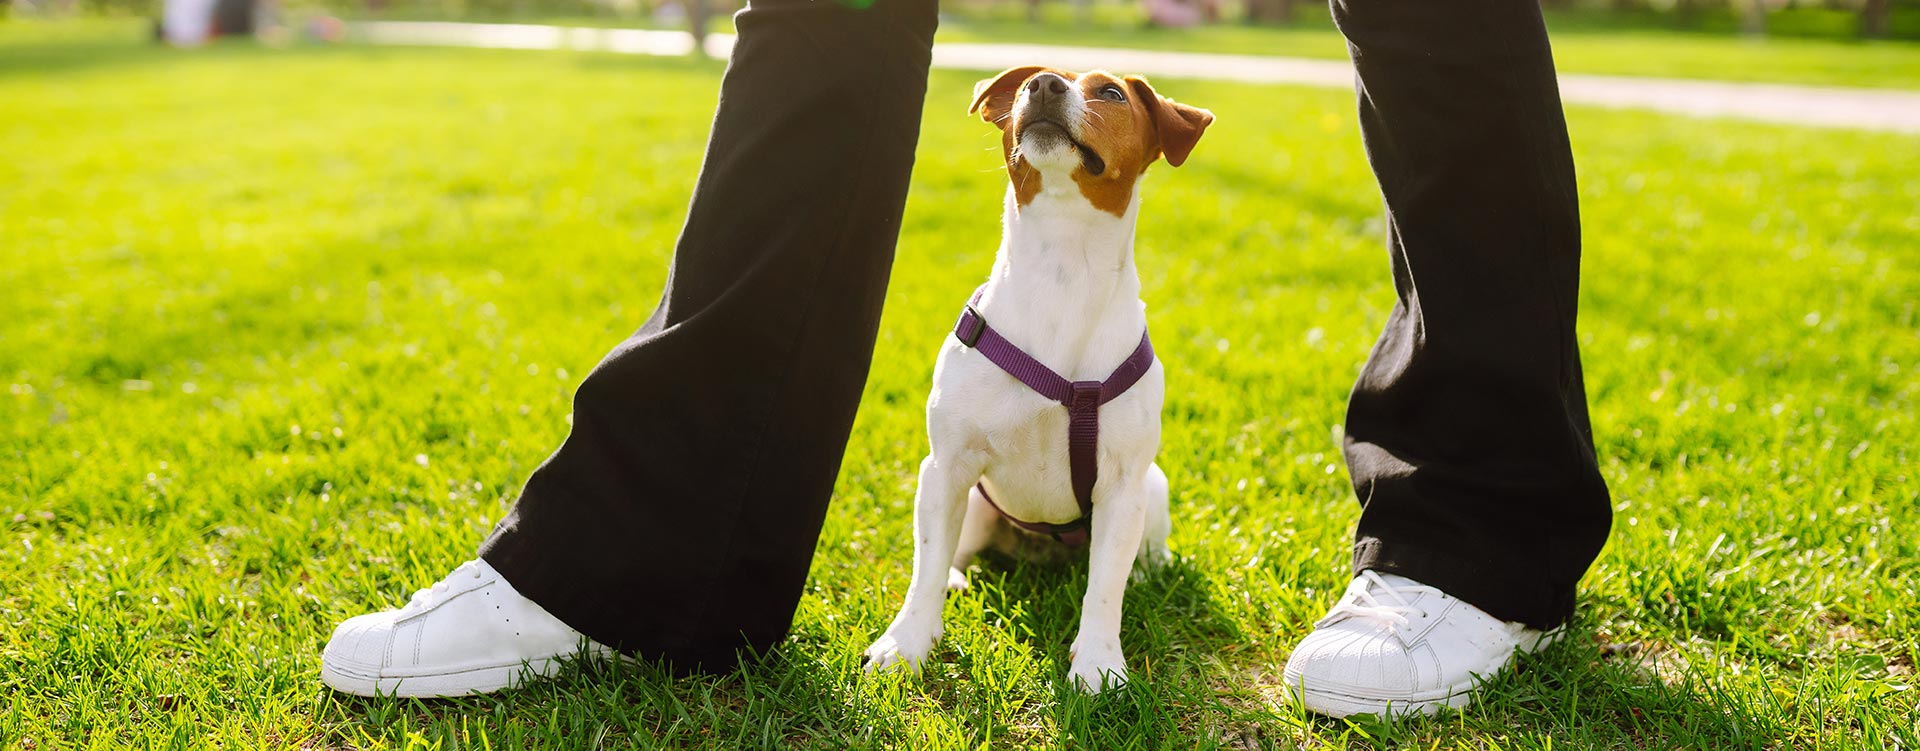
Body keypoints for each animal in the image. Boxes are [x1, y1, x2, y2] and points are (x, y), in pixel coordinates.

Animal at [860, 66, 1205, 695]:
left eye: (1111, 93)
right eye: (1028, 83)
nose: (1041, 85)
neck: (1062, 270)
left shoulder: (1122, 486)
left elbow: (1103, 590)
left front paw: (1098, 665)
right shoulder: (946, 465)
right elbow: (923, 570)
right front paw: (906, 645)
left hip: (1153, 487)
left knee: (1136, 557)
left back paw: (1152, 574)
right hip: (973, 501)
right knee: (951, 555)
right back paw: (956, 580)